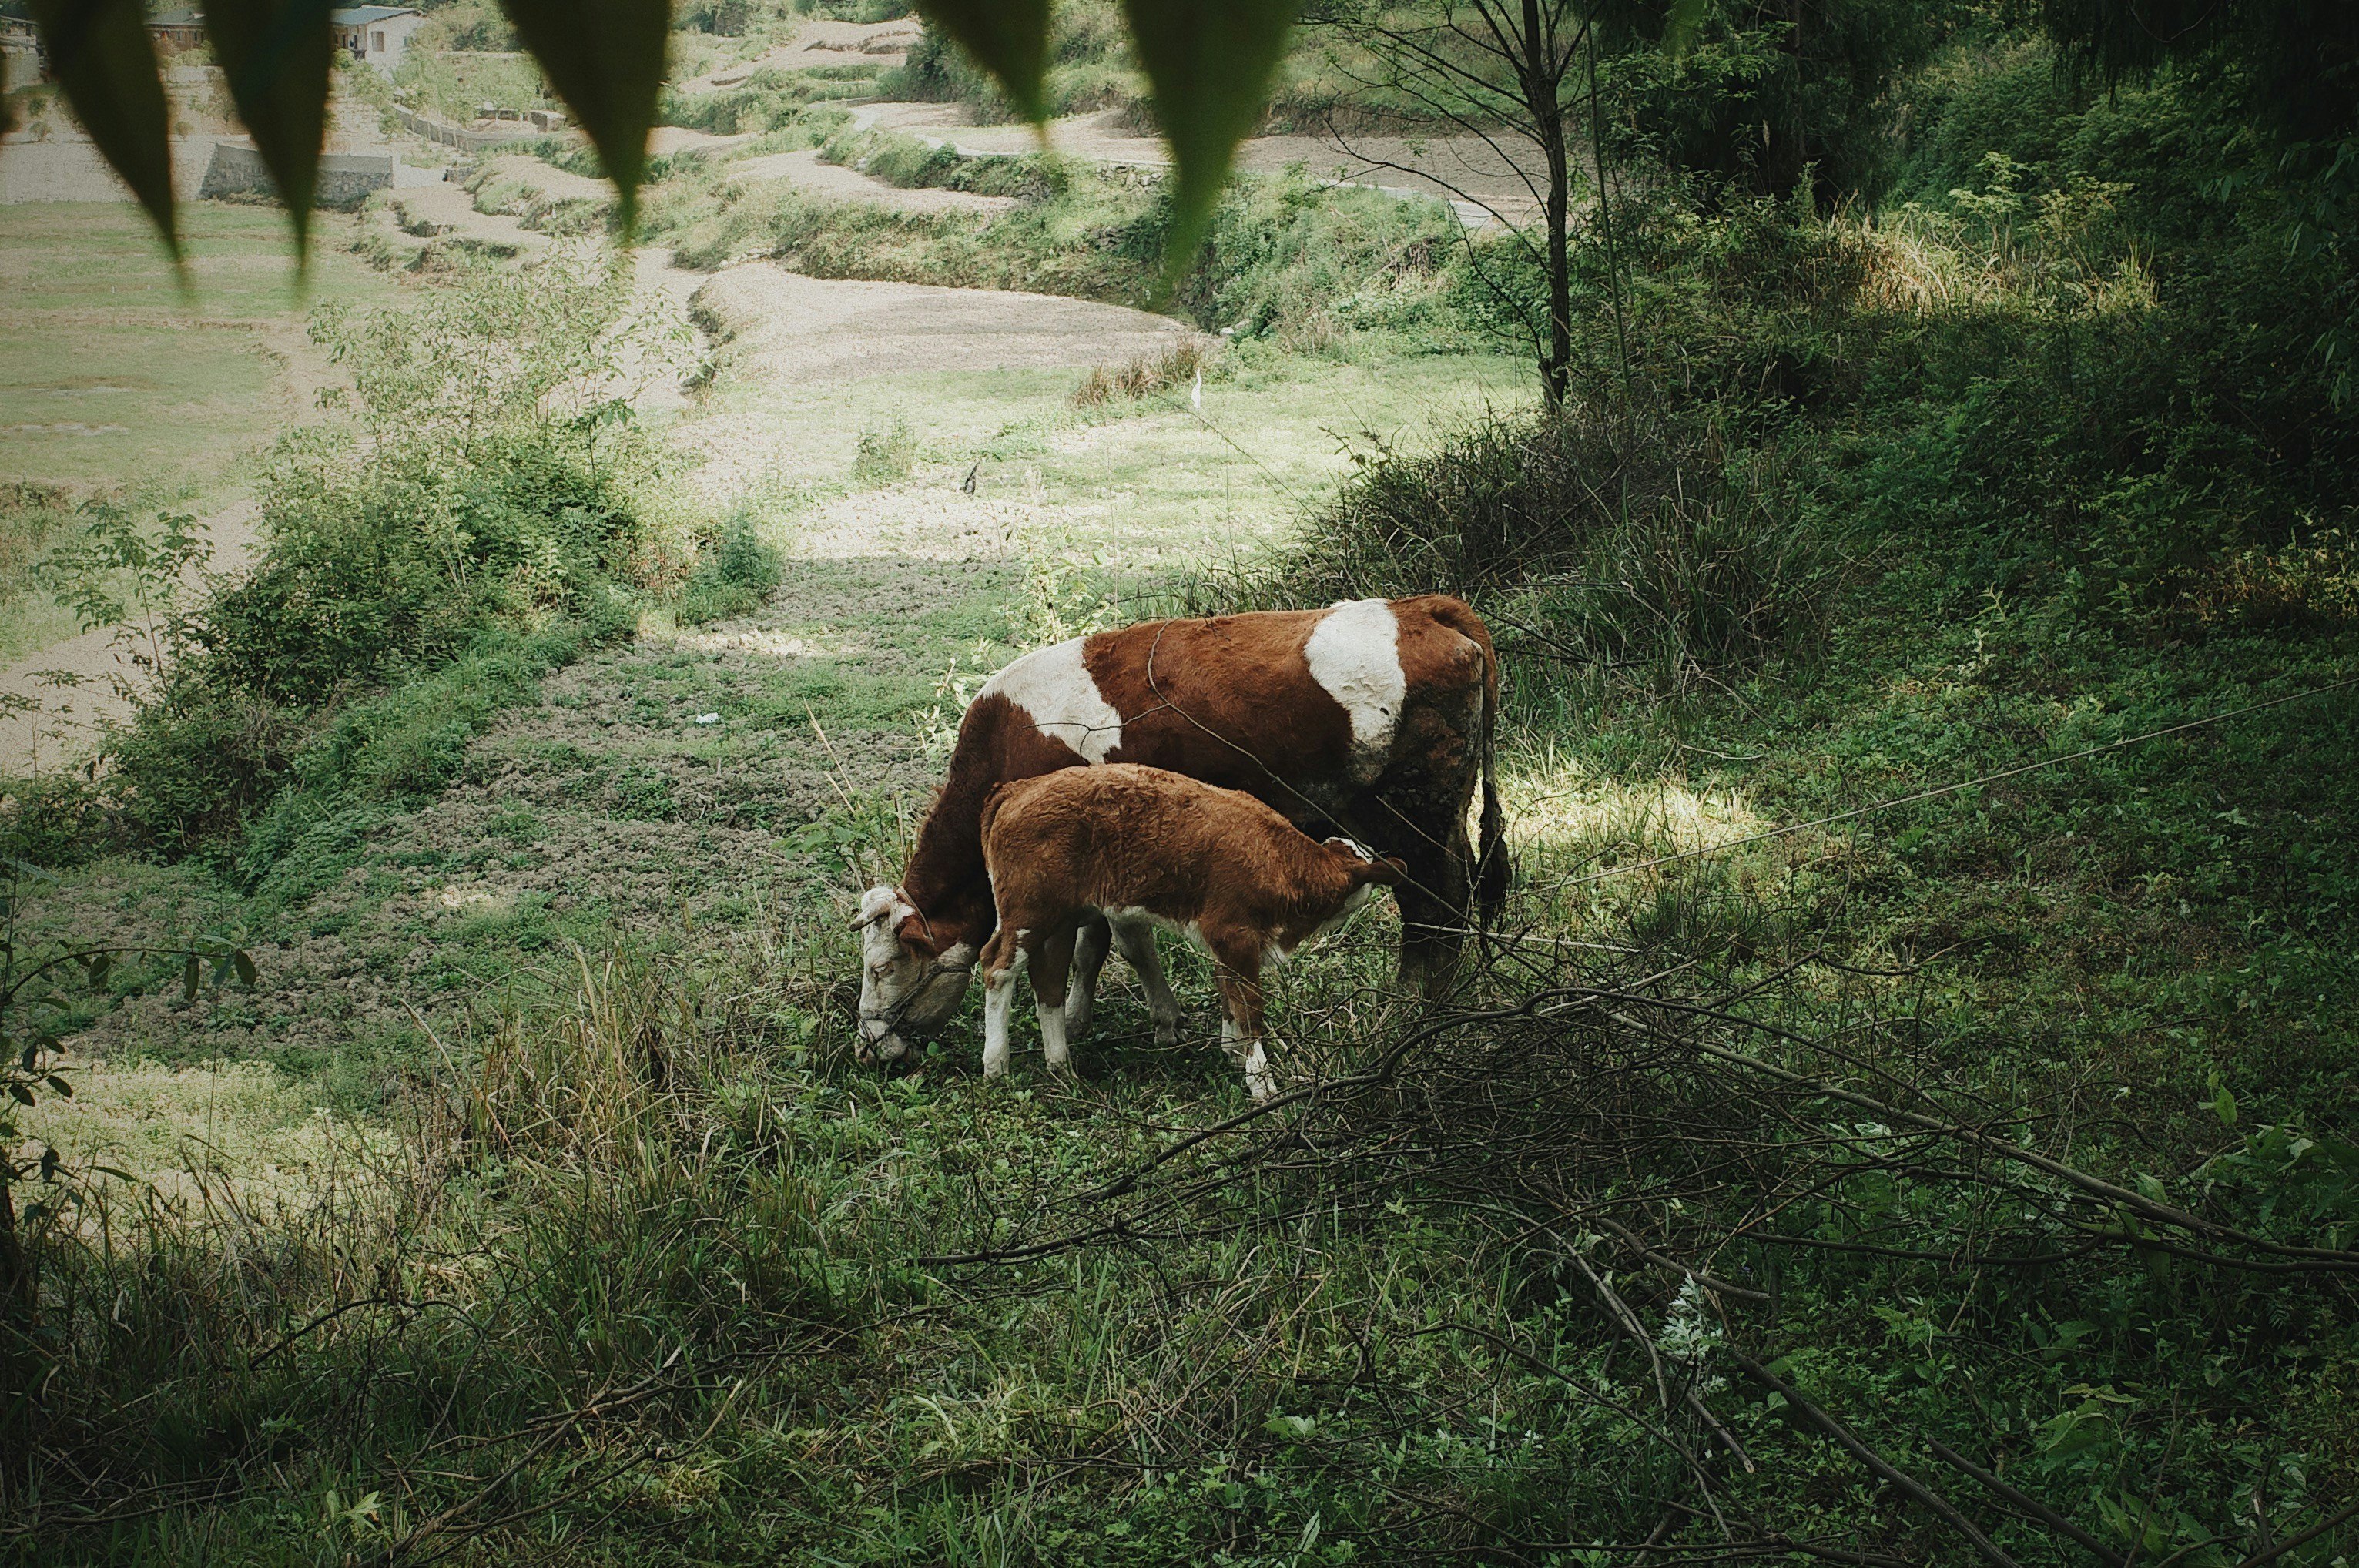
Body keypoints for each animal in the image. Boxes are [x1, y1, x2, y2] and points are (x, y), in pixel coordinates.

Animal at [975, 764, 1406, 1099]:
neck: (1282, 863)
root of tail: (1017, 788)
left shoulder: (1225, 941)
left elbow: (1228, 995)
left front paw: (1233, 1053)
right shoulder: (1234, 933)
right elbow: (1249, 1006)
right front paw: (1262, 1083)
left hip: (1061, 918)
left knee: (1048, 980)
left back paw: (1061, 1067)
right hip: (1030, 910)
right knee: (997, 967)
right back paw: (996, 1064)